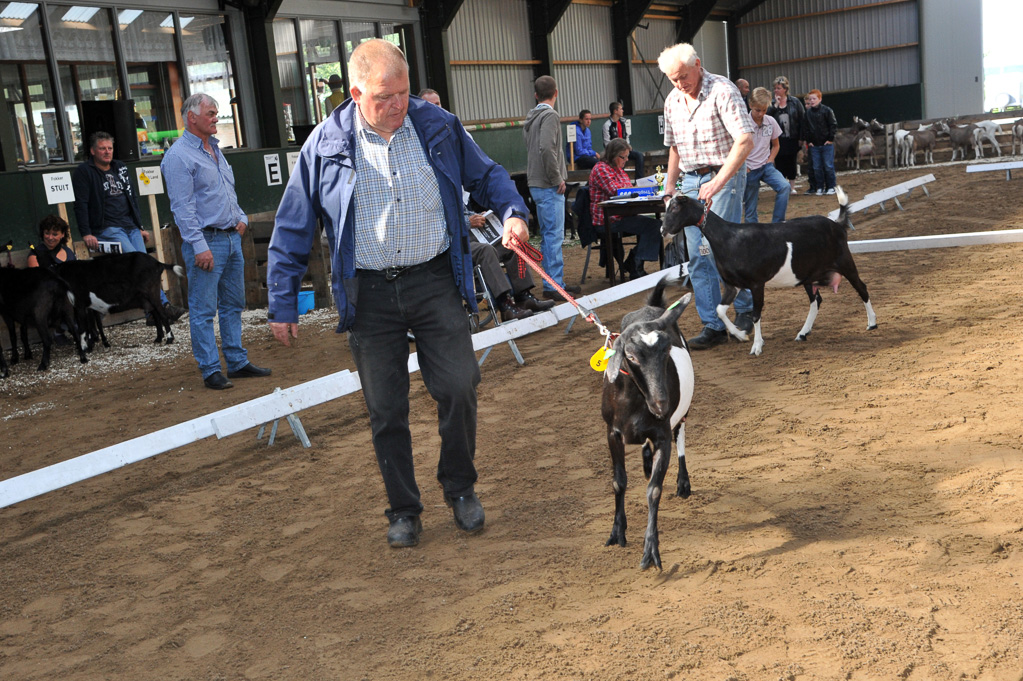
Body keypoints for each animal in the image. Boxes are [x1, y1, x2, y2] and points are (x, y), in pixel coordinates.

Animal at [597, 276, 695, 568]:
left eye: (667, 350)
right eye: (631, 356)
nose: (661, 404)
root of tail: (652, 305)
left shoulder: (662, 433)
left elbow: (653, 489)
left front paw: (651, 550)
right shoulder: (612, 433)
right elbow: (619, 481)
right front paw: (617, 532)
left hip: (682, 413)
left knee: (680, 434)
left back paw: (683, 482)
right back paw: (646, 459)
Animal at [662, 186, 879, 355]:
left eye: (675, 207)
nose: (663, 231)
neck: (729, 238)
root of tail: (837, 224)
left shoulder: (756, 284)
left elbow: (756, 314)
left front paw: (757, 346)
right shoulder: (733, 284)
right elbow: (719, 310)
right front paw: (740, 335)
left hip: (845, 262)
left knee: (861, 288)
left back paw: (872, 323)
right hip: (808, 276)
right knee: (816, 300)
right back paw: (803, 333)